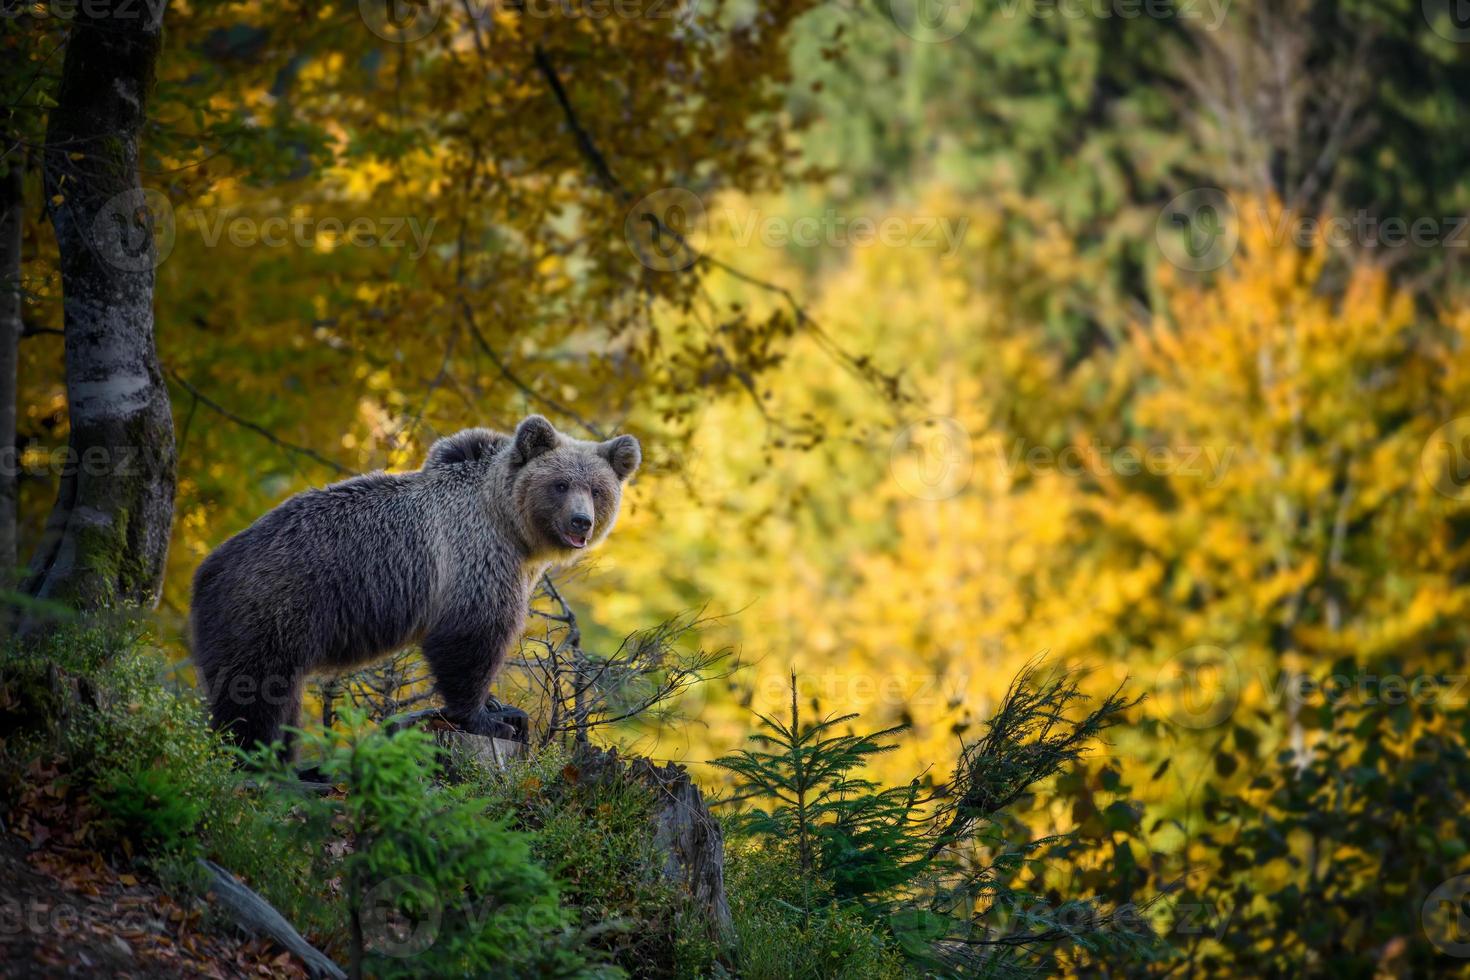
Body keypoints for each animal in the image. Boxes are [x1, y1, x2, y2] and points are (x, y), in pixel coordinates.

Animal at [188, 414, 637, 752]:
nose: (581, 521)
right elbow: (471, 636)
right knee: (254, 694)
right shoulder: (473, 556)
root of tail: (206, 569)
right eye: (560, 484)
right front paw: (490, 718)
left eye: (597, 490)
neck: (511, 528)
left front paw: (500, 706)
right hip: (269, 610)